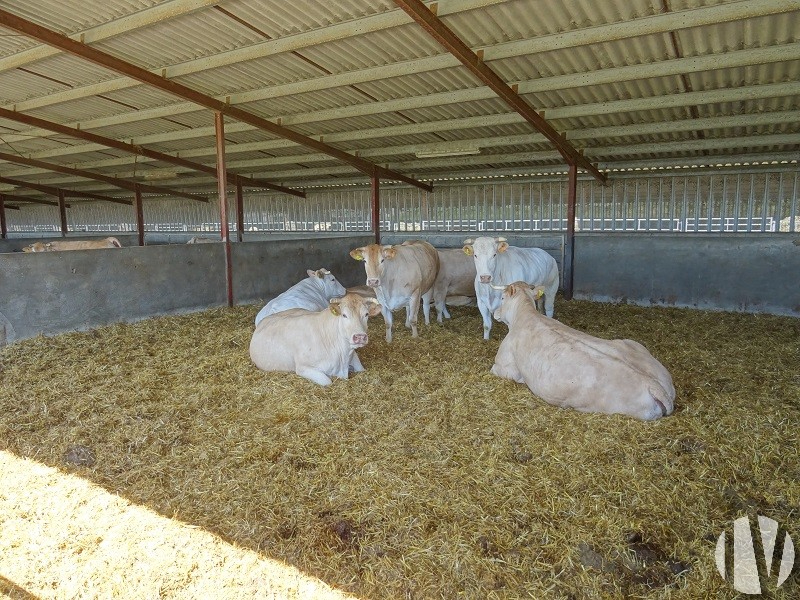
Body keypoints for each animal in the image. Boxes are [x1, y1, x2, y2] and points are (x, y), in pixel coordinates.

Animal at [250, 292, 382, 386]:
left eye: (366, 314)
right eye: (344, 315)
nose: (360, 336)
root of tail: (265, 319)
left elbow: (361, 369)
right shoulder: (303, 368)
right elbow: (327, 381)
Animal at [494, 282, 676, 420]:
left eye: (502, 298)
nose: (494, 312)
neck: (525, 315)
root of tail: (654, 386)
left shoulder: (503, 366)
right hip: (633, 345)